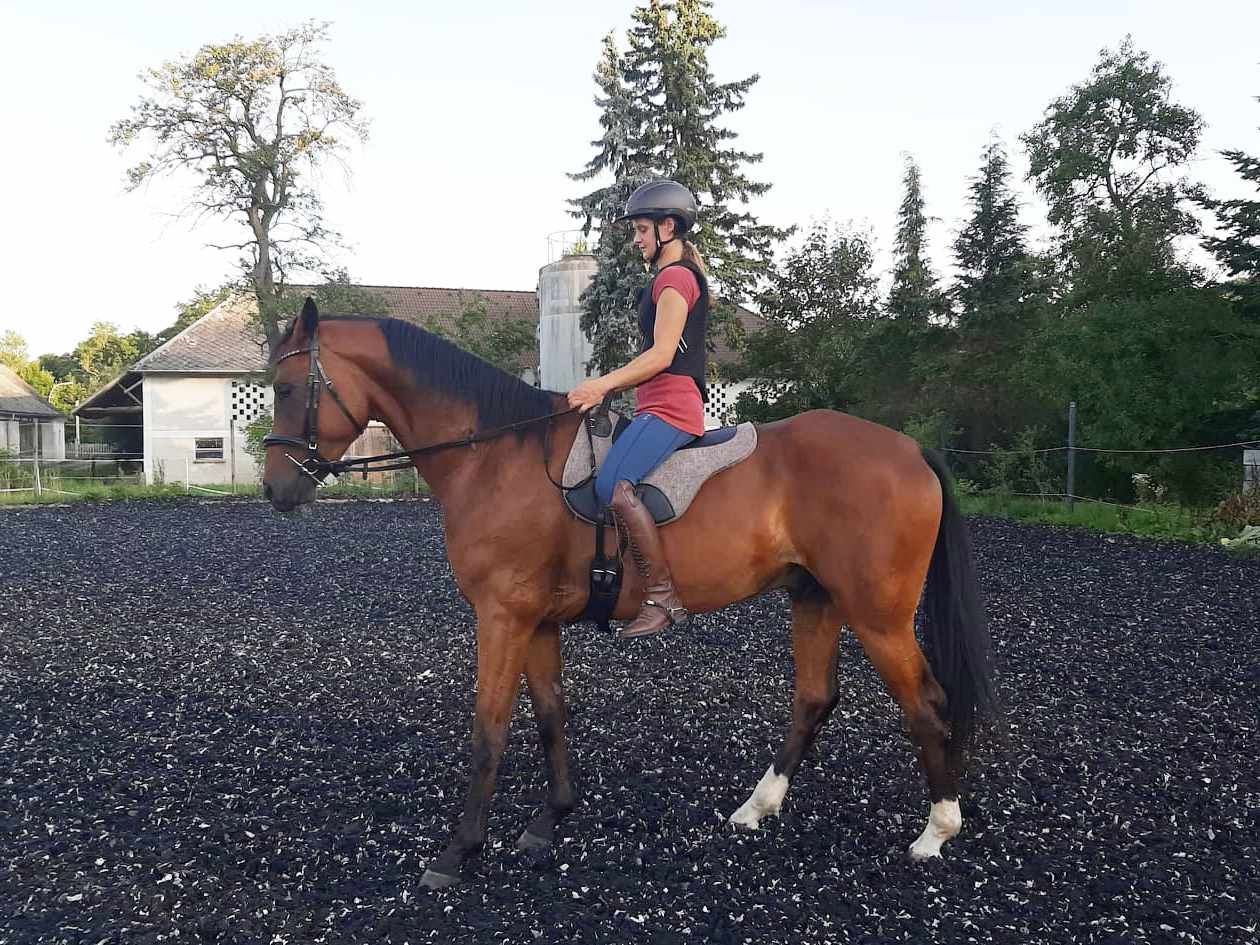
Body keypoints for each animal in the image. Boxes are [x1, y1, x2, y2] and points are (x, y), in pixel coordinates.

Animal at [261, 299, 997, 889]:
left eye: (289, 387)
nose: (275, 489)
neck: (495, 456)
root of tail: (910, 449)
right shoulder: (535, 619)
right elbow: (550, 714)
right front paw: (549, 820)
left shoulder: (501, 615)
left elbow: (488, 730)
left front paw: (458, 851)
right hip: (814, 598)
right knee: (814, 699)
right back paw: (756, 808)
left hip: (879, 616)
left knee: (927, 705)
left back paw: (936, 831)